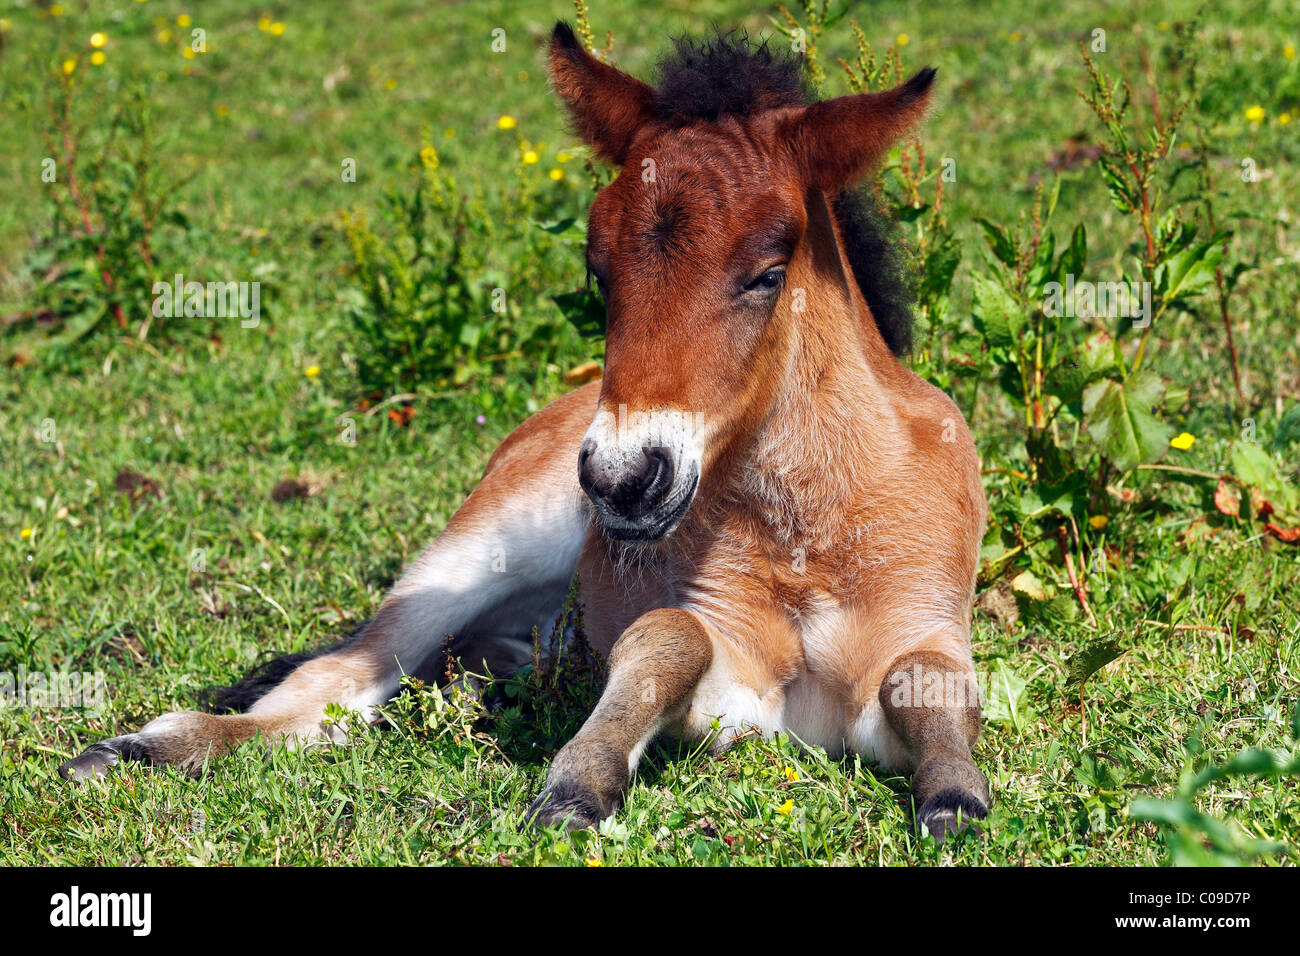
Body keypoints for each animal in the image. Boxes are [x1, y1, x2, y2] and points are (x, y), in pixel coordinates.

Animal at [61, 20, 987, 842]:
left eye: (766, 274)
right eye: (597, 270)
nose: (623, 480)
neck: (807, 528)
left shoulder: (922, 633)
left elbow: (925, 682)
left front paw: (955, 798)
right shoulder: (731, 689)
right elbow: (666, 637)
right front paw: (578, 787)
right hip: (476, 550)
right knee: (345, 677)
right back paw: (141, 749)